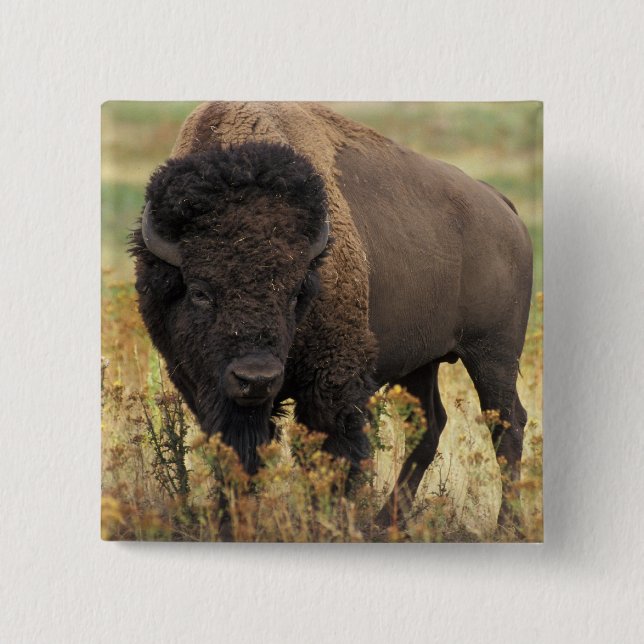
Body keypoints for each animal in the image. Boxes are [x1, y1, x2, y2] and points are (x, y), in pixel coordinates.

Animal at [131, 102, 533, 527]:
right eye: (200, 292)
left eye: (295, 292)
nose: (256, 379)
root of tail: (504, 207)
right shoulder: (201, 385)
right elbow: (237, 453)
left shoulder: (332, 381)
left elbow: (333, 453)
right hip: (422, 363)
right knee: (429, 425)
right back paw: (385, 523)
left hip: (493, 355)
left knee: (507, 423)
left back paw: (505, 524)